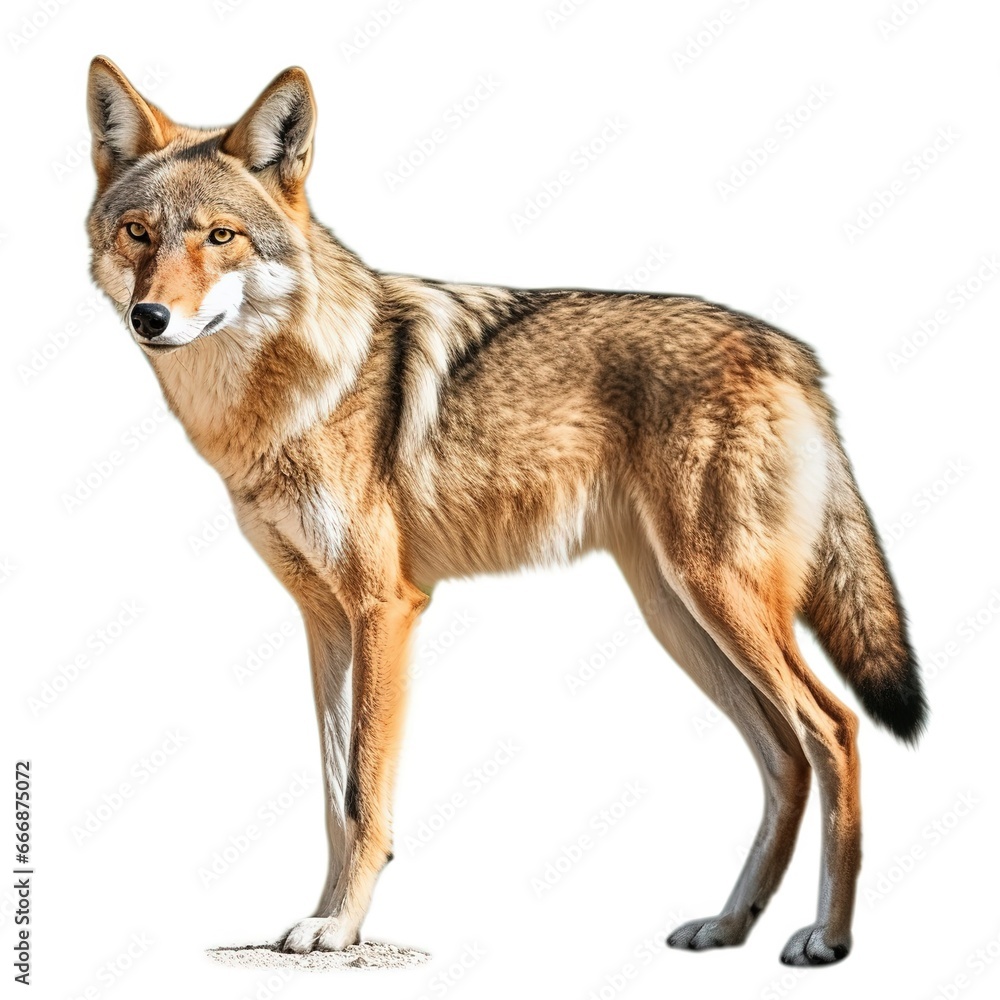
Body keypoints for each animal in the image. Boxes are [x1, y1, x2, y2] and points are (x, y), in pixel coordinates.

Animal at [85, 56, 926, 965]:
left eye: (219, 237)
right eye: (138, 233)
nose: (150, 317)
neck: (285, 401)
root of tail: (795, 354)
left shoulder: (385, 609)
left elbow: (363, 795)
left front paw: (340, 928)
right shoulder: (326, 620)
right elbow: (333, 796)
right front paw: (323, 919)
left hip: (719, 599)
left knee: (834, 731)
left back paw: (828, 937)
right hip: (681, 615)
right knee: (785, 759)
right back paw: (729, 923)